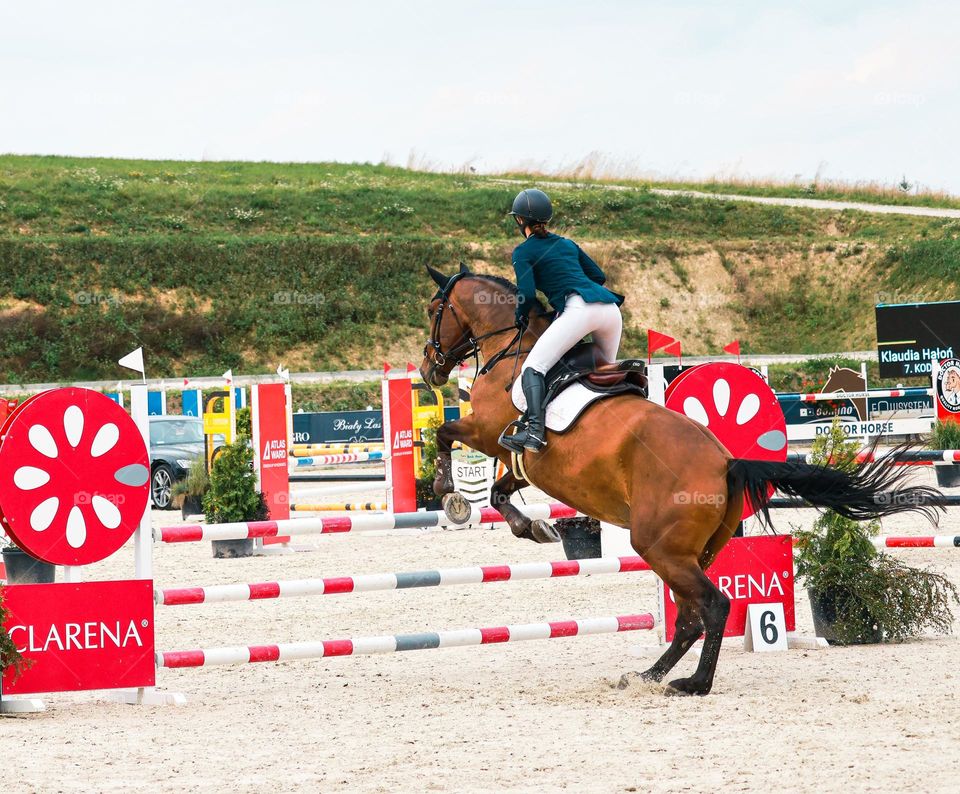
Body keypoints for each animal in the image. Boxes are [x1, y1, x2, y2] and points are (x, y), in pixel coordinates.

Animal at [419, 263, 945, 696]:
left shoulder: (487, 431)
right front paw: (532, 526)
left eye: (434, 309)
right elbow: (499, 490)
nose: (428, 369)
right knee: (691, 616)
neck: (512, 350)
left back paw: (692, 683)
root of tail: (728, 463)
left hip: (660, 546)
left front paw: (448, 495)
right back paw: (648, 676)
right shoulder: (516, 461)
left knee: (712, 607)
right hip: (688, 551)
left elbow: (446, 435)